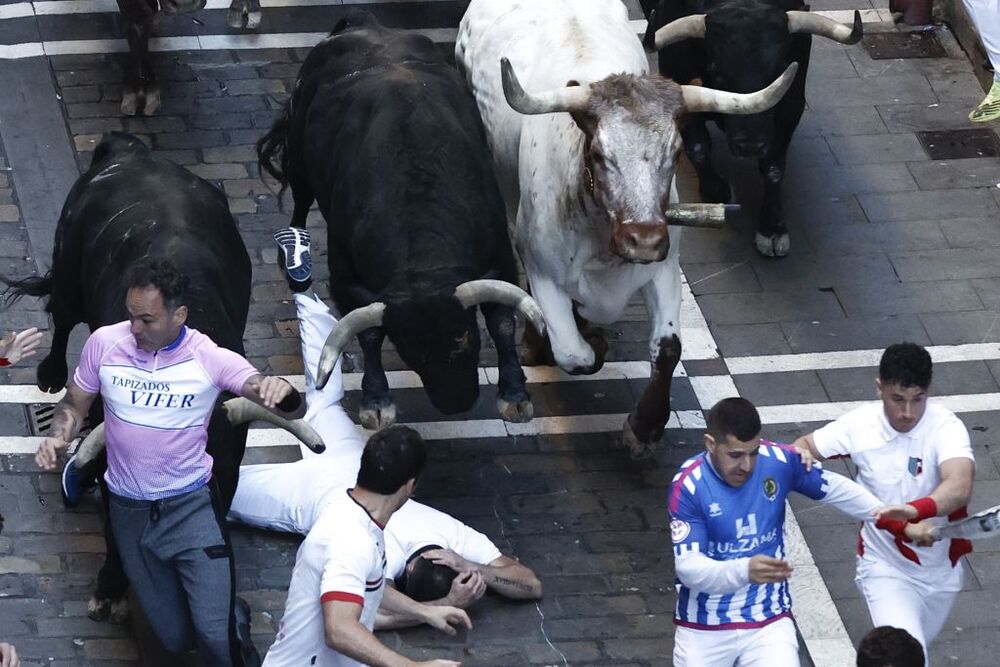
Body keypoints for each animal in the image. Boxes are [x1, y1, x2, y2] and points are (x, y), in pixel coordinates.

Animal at [260, 13, 540, 430]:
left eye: (464, 337)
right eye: (410, 350)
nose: (458, 403)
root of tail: (363, 23)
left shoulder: (501, 257)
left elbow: (502, 321)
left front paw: (515, 394)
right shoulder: (346, 276)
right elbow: (370, 336)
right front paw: (376, 402)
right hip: (298, 159)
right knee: (299, 201)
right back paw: (292, 258)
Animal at [458, 0, 796, 460]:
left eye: (676, 151)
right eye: (601, 154)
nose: (644, 240)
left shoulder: (664, 269)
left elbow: (668, 348)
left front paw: (645, 427)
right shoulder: (545, 273)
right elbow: (574, 353)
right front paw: (588, 342)